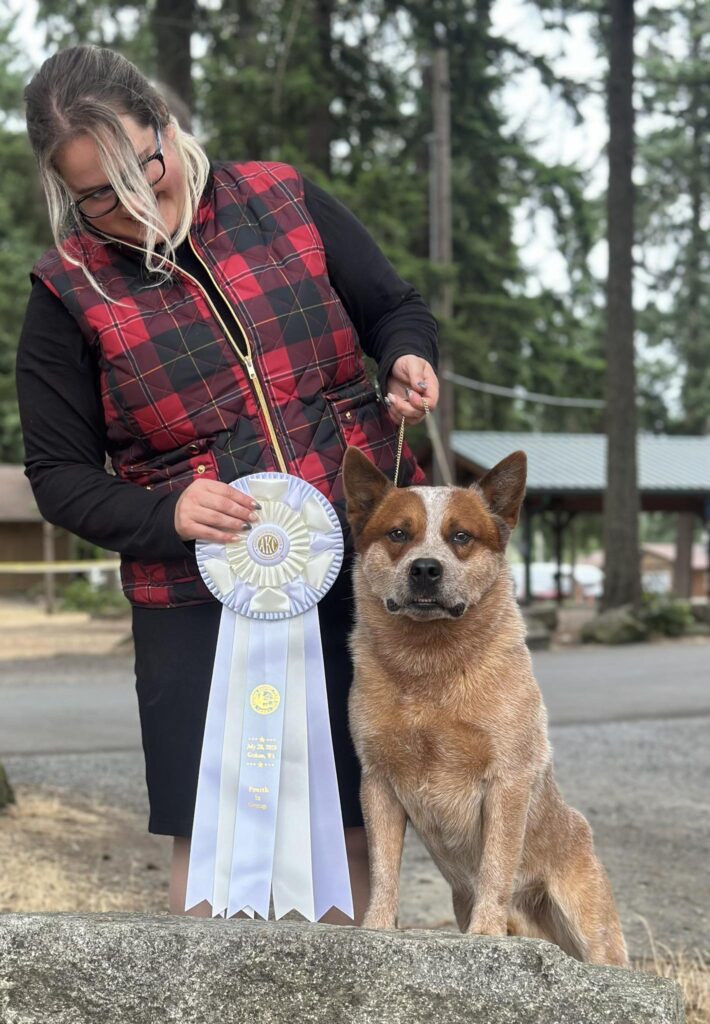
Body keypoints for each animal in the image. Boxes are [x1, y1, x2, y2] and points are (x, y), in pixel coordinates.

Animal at [342, 446, 628, 967]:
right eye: (398, 533)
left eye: (461, 536)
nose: (425, 568)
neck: (430, 670)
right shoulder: (377, 779)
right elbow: (383, 867)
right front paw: (376, 927)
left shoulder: (507, 778)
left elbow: (497, 862)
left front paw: (486, 935)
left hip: (590, 923)